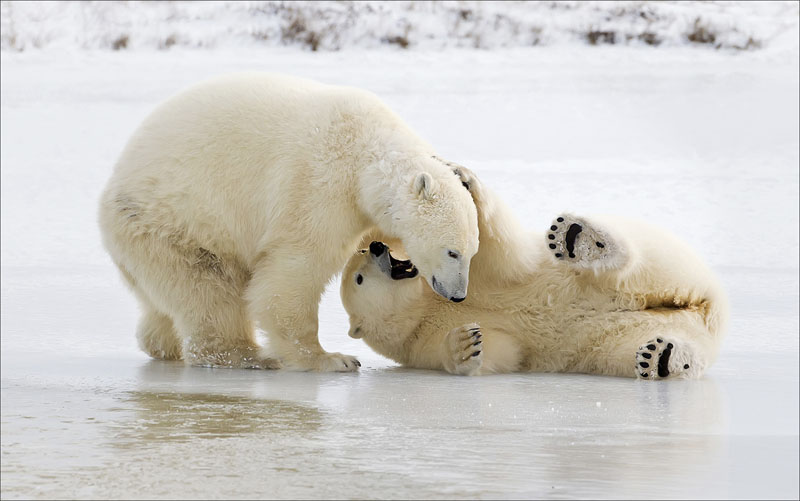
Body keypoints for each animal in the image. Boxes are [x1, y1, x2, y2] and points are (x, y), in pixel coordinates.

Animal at [98, 72, 479, 371]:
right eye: (452, 252)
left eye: (471, 253)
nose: (458, 295)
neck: (365, 151)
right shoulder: (318, 187)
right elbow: (296, 270)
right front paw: (332, 359)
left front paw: (464, 173)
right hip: (174, 223)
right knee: (209, 288)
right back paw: (249, 355)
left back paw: (161, 343)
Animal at [341, 164, 728, 378]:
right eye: (359, 277)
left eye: (360, 254)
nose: (377, 248)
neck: (425, 305)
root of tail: (708, 310)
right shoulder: (419, 343)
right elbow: (498, 352)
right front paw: (465, 343)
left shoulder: (477, 279)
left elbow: (499, 255)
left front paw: (462, 178)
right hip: (625, 340)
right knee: (646, 347)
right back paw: (661, 358)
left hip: (666, 262)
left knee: (636, 263)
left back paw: (579, 237)